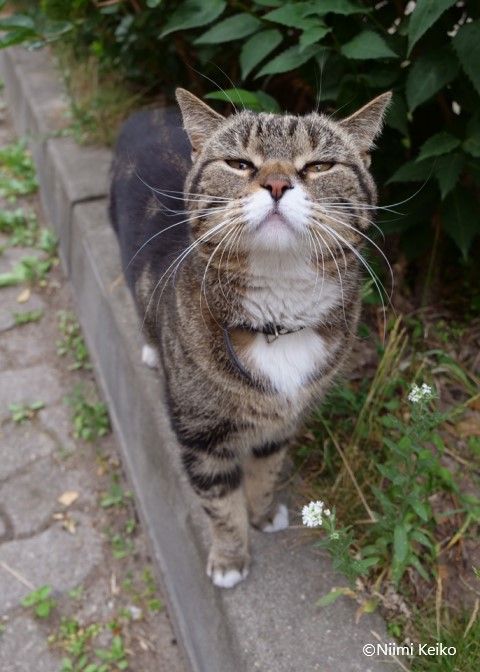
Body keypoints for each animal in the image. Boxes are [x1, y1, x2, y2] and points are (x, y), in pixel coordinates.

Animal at [109, 88, 391, 588]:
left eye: (320, 165)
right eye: (240, 163)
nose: (277, 184)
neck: (277, 318)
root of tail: (146, 112)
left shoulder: (282, 423)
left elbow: (267, 469)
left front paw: (262, 514)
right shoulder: (200, 434)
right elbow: (220, 505)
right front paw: (230, 558)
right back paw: (151, 349)